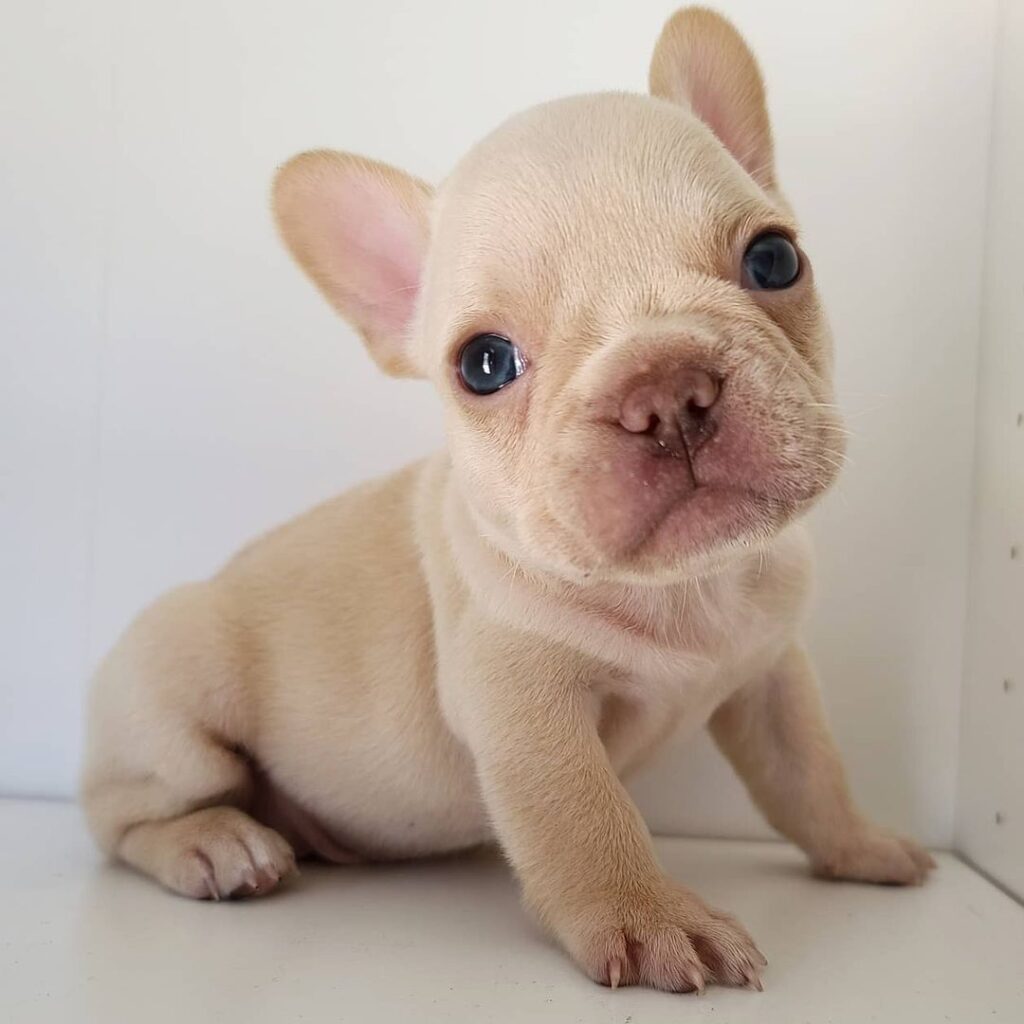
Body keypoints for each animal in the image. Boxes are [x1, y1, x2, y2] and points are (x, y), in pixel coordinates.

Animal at [82, 6, 934, 993]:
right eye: (484, 364)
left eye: (773, 258)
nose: (665, 389)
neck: (688, 587)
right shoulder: (522, 700)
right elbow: (586, 816)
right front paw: (651, 916)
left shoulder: (772, 677)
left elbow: (810, 776)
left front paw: (861, 847)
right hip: (173, 690)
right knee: (121, 819)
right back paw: (214, 844)